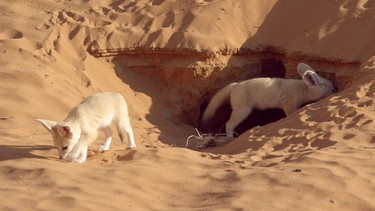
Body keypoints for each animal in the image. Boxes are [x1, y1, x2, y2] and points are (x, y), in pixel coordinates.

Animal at [203, 62, 338, 138]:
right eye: (332, 90)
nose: (337, 91)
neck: (301, 88)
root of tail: (235, 85)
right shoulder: (289, 106)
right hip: (242, 111)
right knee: (229, 124)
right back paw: (230, 138)